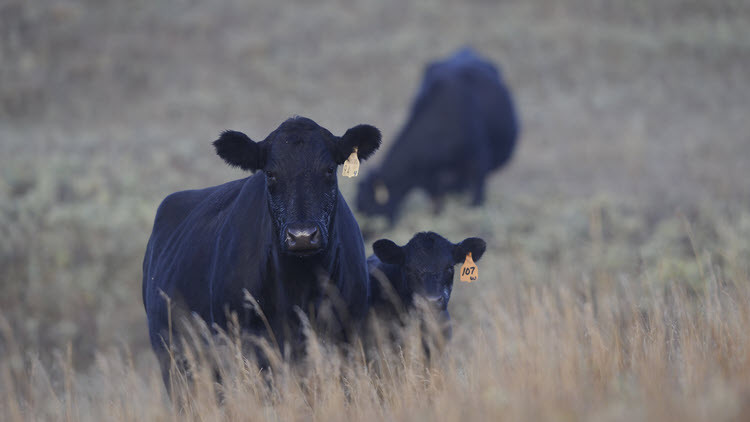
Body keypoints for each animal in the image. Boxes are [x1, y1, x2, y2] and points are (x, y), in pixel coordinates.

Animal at [356, 47, 519, 224]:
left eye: (369, 206)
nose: (364, 230)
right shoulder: (432, 183)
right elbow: (438, 206)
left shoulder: (478, 162)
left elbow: (476, 198)